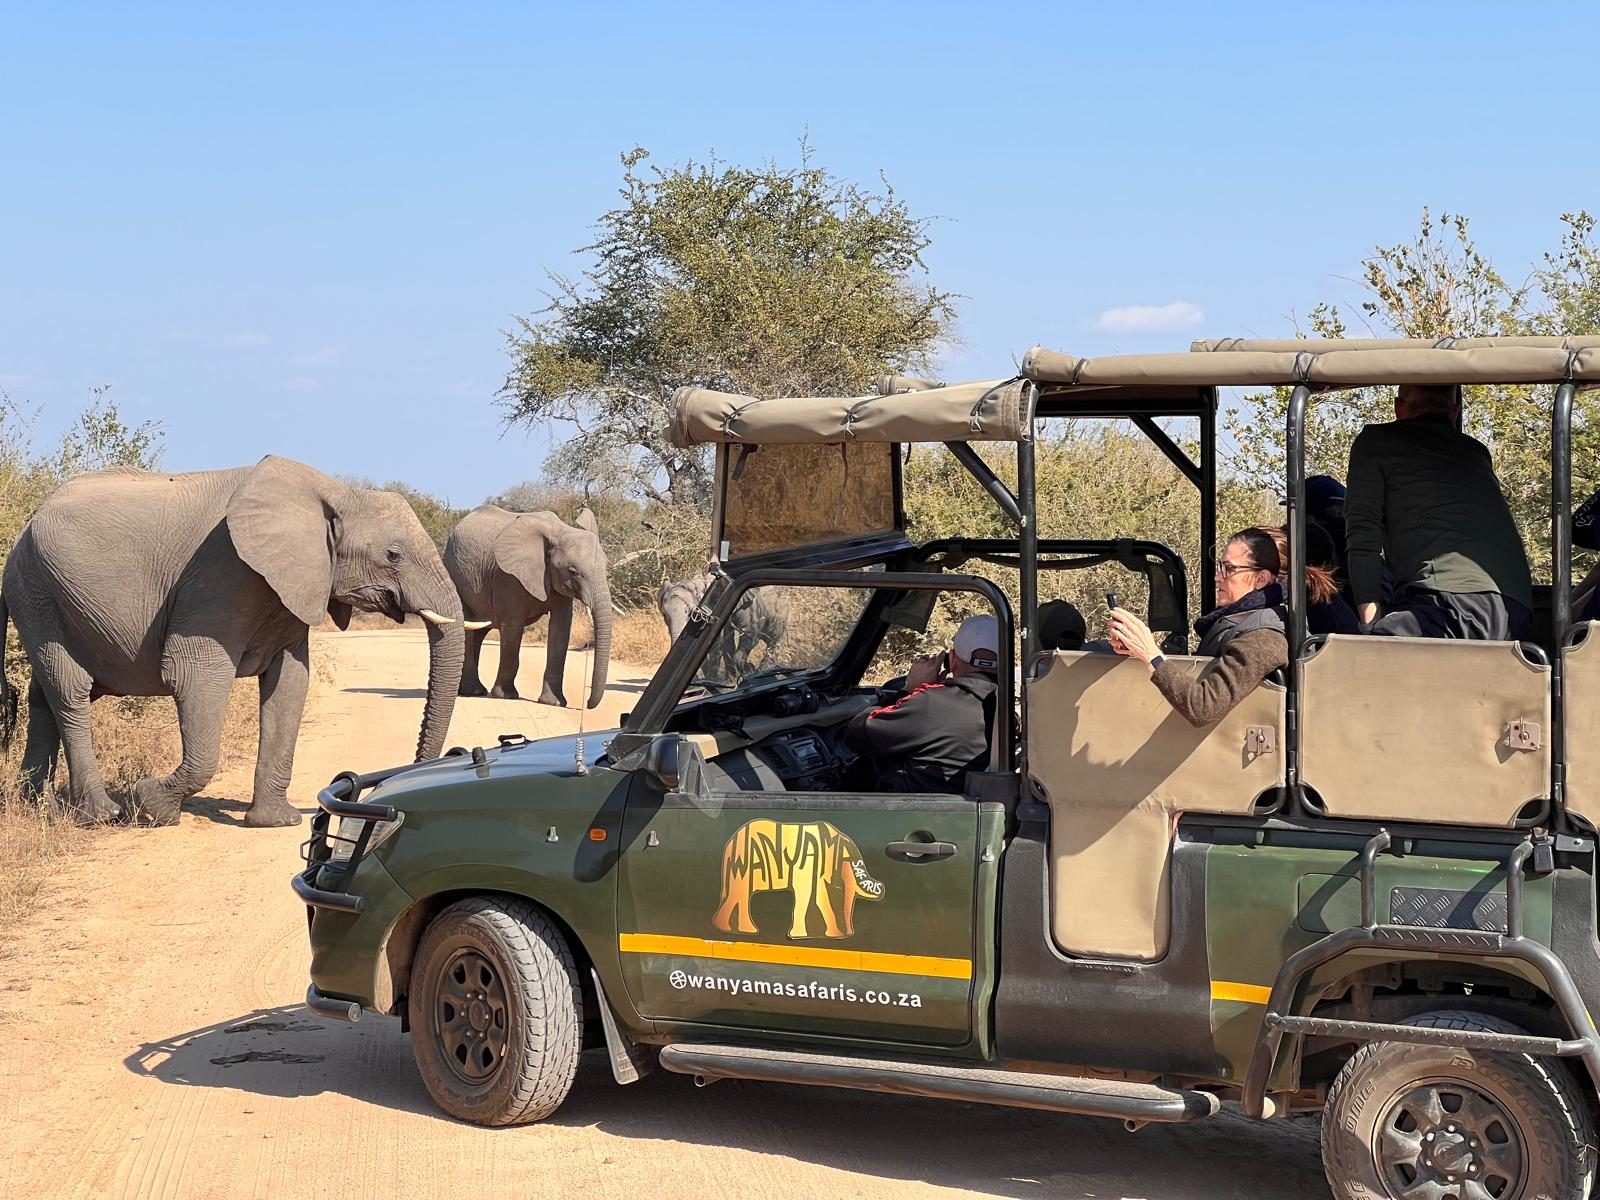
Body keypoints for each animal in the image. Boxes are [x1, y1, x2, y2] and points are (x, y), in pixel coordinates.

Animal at [0, 455, 468, 827]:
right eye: (393, 555)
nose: (390, 786)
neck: (335, 492)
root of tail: (23, 526)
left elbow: (289, 683)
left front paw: (276, 823)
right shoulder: (222, 573)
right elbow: (195, 674)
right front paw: (154, 806)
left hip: (41, 593)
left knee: (45, 697)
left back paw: (33, 808)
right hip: (38, 589)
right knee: (70, 692)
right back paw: (102, 814)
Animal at [443, 505, 612, 708]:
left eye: (606, 566)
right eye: (572, 571)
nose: (586, 704)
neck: (560, 530)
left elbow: (561, 629)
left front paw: (554, 703)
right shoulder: (508, 577)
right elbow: (513, 627)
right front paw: (505, 696)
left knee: (479, 631)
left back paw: (470, 690)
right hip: (455, 574)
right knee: (468, 627)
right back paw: (472, 692)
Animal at [659, 569, 789, 681]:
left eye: (692, 613)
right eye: (664, 615)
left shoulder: (745, 606)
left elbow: (747, 633)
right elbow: (726, 643)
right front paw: (729, 680)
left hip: (779, 609)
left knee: (773, 638)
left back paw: (763, 670)